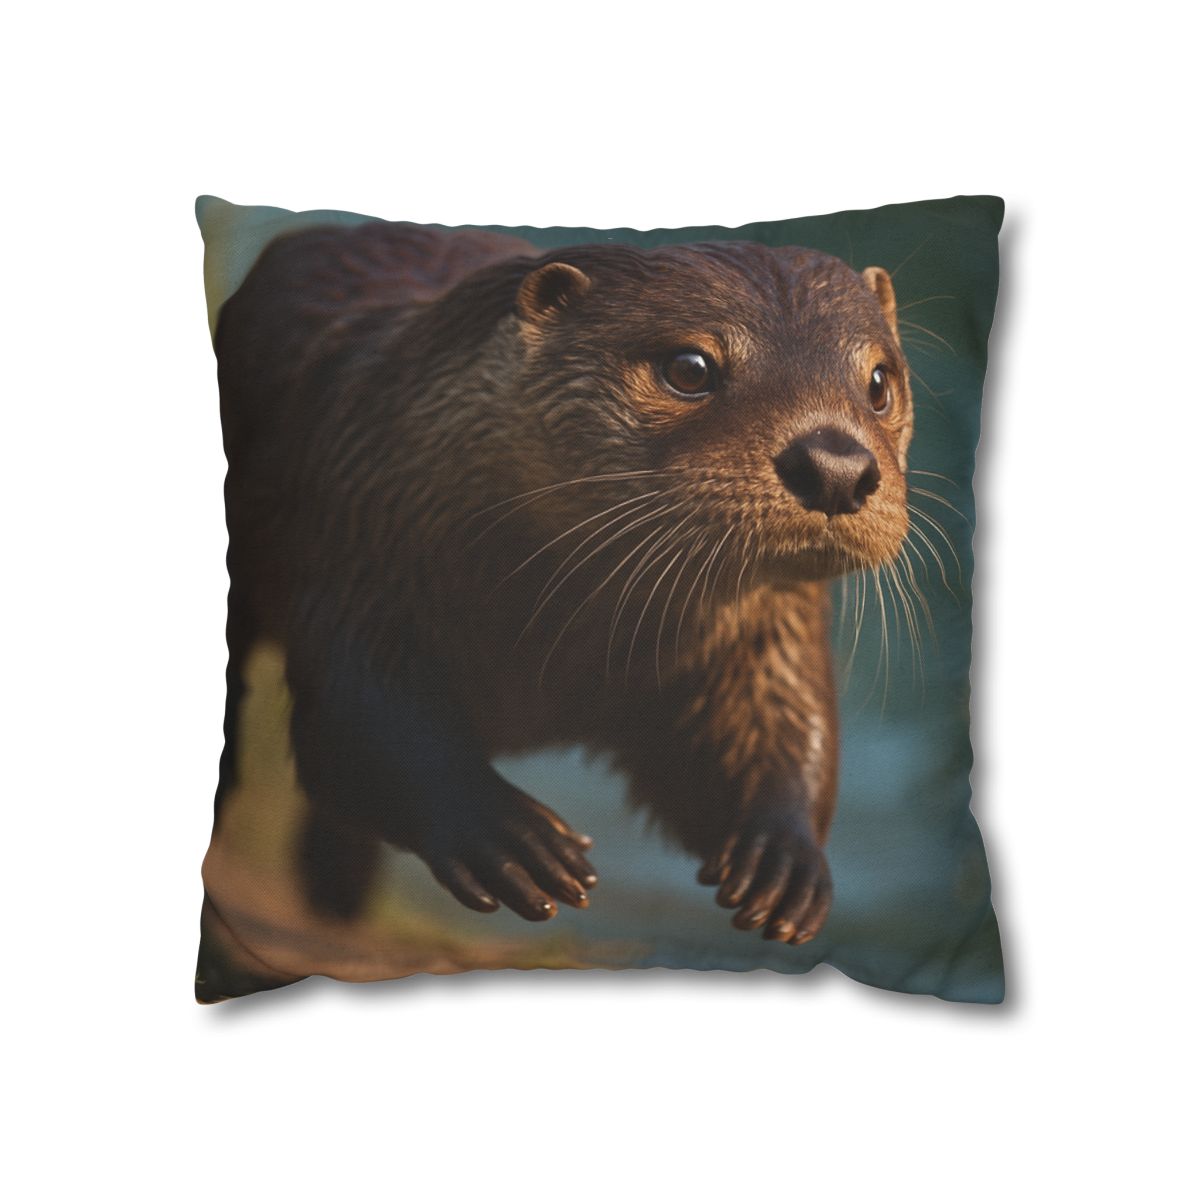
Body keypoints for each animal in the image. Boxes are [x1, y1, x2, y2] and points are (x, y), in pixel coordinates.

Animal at [214, 222, 912, 947]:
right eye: (691, 368)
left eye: (879, 382)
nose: (835, 466)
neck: (554, 637)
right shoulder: (362, 538)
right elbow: (362, 722)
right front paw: (506, 836)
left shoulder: (766, 633)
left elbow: (773, 725)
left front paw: (784, 859)